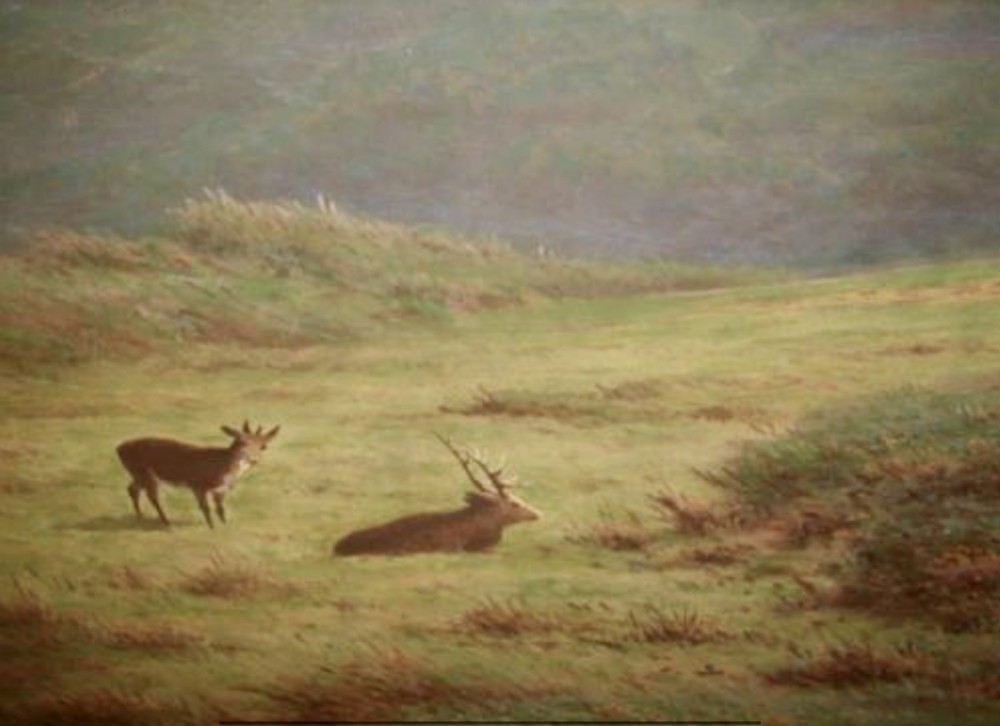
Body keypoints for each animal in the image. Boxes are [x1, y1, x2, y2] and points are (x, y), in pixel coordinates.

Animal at [115, 421, 280, 529]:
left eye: (263, 446)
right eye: (242, 442)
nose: (254, 460)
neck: (224, 470)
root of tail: (119, 448)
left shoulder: (221, 490)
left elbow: (220, 508)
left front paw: (224, 525)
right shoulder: (197, 484)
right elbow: (205, 508)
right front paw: (212, 528)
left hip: (137, 473)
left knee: (132, 489)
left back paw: (140, 516)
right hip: (144, 471)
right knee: (152, 496)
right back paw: (166, 522)